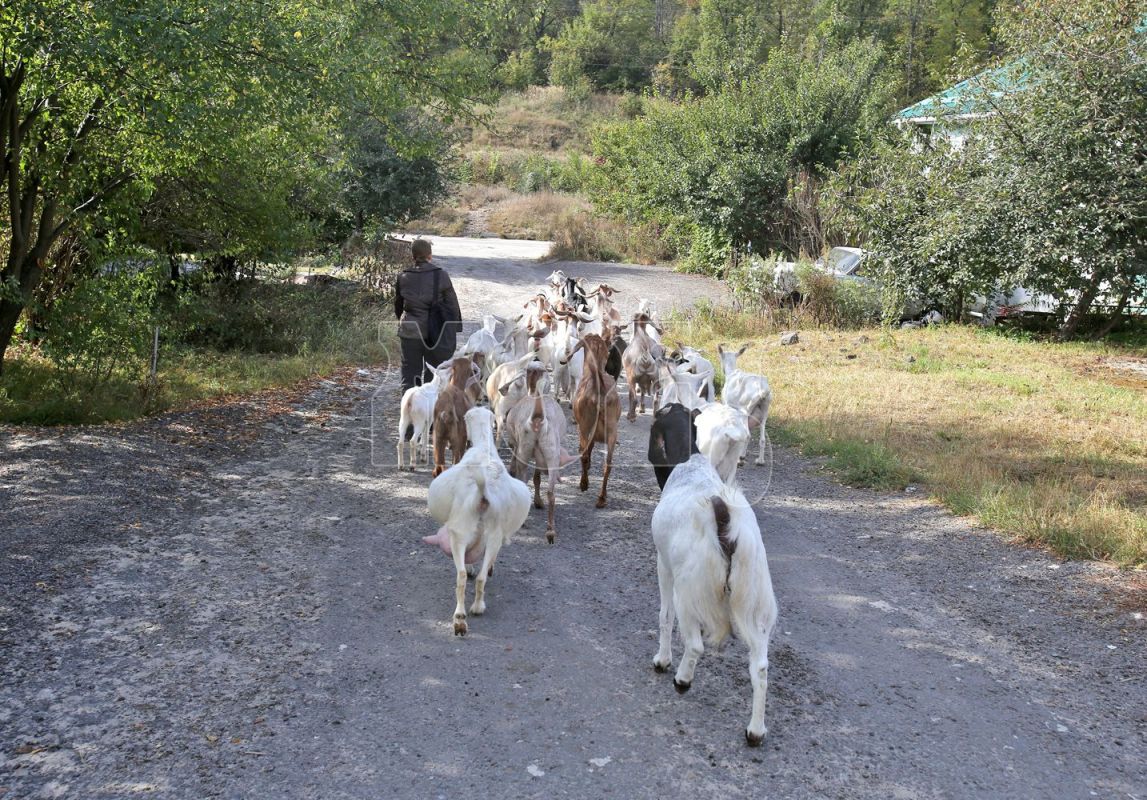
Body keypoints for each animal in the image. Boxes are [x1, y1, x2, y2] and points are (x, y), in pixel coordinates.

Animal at [426, 408, 532, 633]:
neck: (484, 446)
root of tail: (482, 496)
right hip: (493, 535)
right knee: (482, 576)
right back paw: (477, 607)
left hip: (460, 532)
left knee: (461, 575)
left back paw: (460, 615)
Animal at [562, 332, 623, 509]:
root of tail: (600, 395)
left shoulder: (584, 428)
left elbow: (586, 452)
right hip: (611, 432)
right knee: (607, 463)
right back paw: (602, 498)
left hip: (585, 427)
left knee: (583, 455)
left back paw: (584, 484)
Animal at [656, 433, 779, 743]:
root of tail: (726, 521)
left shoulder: (663, 563)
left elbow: (665, 616)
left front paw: (662, 660)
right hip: (754, 599)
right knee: (760, 667)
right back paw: (755, 731)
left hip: (689, 590)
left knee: (695, 645)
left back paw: (682, 680)